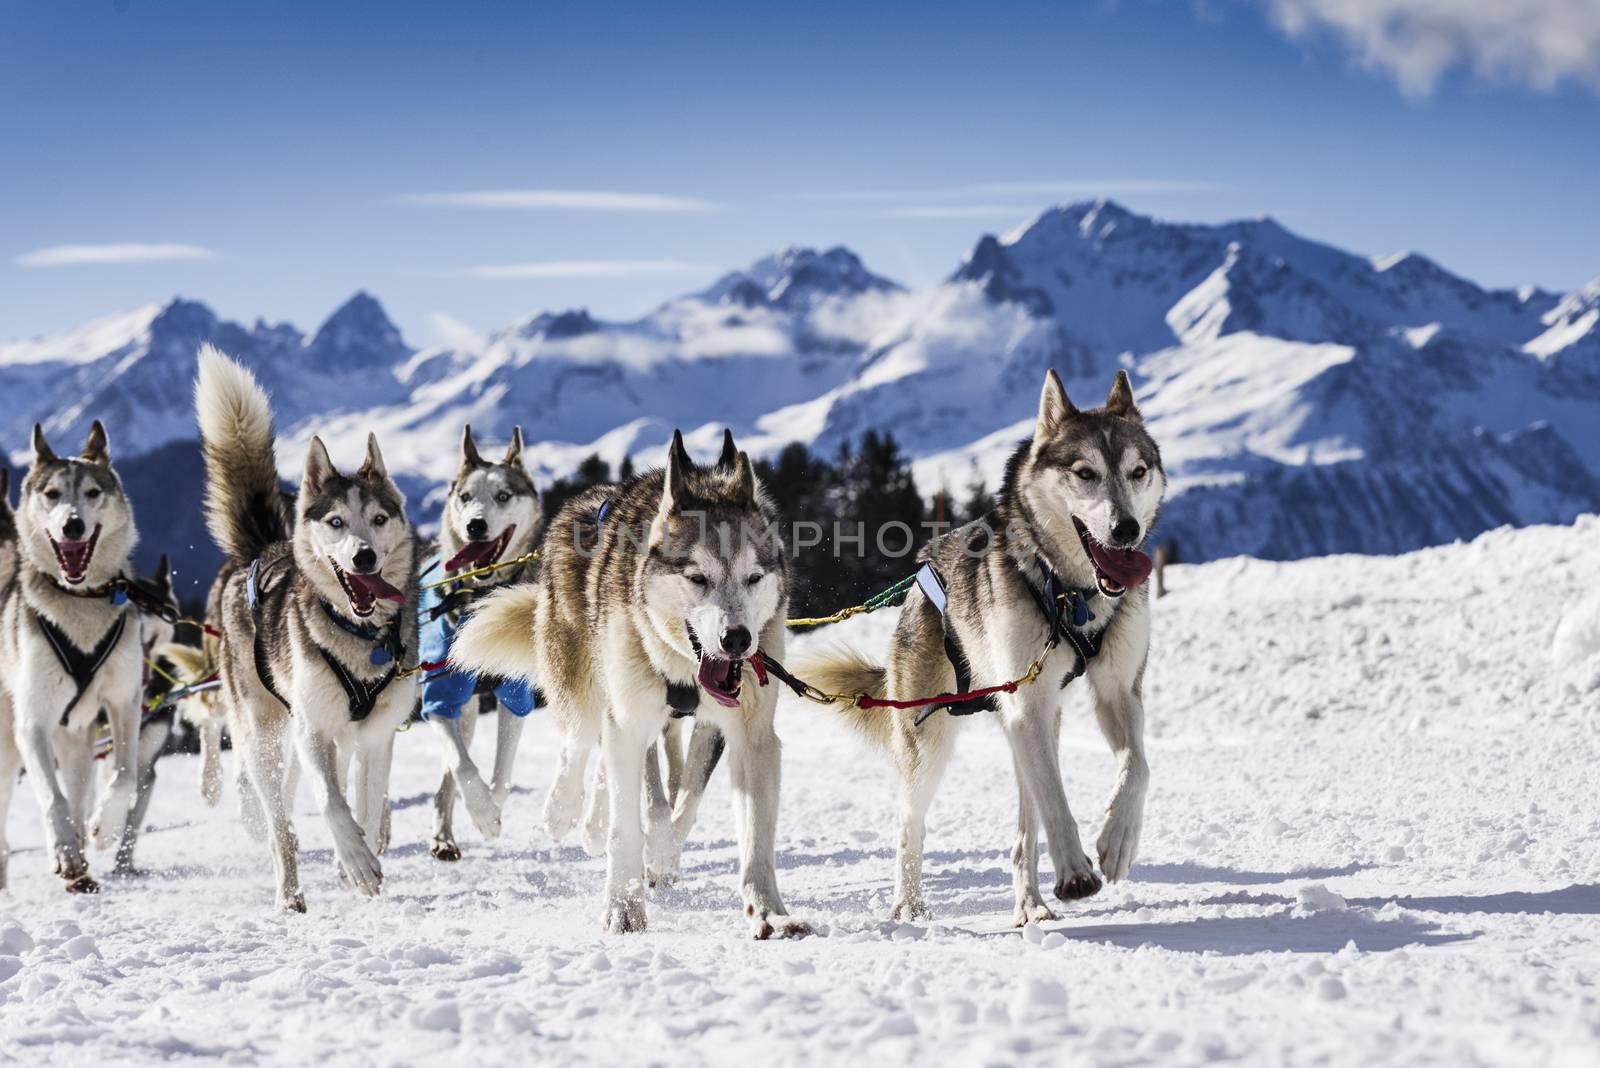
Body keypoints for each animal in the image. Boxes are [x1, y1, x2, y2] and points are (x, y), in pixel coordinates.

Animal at [0, 422, 144, 888]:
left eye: (93, 492)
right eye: (52, 494)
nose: (73, 525)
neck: (79, 601)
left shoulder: (124, 701)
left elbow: (124, 774)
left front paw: (105, 827)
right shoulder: (33, 723)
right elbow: (52, 797)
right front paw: (63, 850)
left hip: (77, 739)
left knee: (81, 788)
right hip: (7, 744)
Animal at [194, 346, 422, 914]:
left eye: (380, 519)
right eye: (336, 522)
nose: (364, 557)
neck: (360, 637)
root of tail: (259, 551)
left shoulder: (376, 737)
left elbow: (366, 802)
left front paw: (360, 860)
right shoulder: (312, 730)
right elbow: (331, 802)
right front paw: (357, 862)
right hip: (265, 736)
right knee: (282, 827)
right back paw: (289, 892)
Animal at [422, 422, 547, 856]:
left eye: (503, 496)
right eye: (465, 497)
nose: (475, 524)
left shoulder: (514, 693)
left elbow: (501, 774)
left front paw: (491, 811)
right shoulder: (438, 695)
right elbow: (463, 764)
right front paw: (482, 813)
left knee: (446, 780)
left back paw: (443, 837)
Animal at [451, 428, 800, 940]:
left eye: (754, 577)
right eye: (697, 577)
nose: (736, 639)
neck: (683, 667)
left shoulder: (750, 734)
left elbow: (740, 827)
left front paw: (768, 911)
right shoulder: (635, 721)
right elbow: (632, 823)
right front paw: (624, 907)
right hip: (582, 682)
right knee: (579, 743)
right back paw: (563, 810)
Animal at [796, 374, 1164, 927]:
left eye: (1138, 472)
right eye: (1085, 473)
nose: (1126, 529)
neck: (1071, 594)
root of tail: (920, 576)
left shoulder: (1117, 692)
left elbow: (1137, 767)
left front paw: (1118, 841)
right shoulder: (1027, 706)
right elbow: (1056, 801)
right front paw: (1075, 871)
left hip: (1031, 722)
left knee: (1025, 831)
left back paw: (1030, 904)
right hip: (934, 736)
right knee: (911, 824)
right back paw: (909, 904)